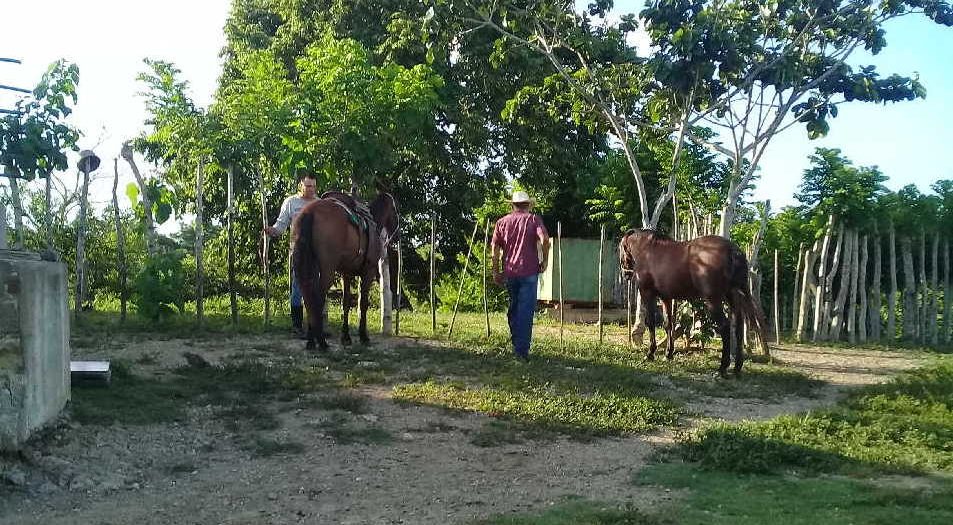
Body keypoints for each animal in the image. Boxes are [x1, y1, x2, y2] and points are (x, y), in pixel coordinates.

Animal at [288, 190, 396, 350]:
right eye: (395, 210)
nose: (397, 234)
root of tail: (310, 212)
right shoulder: (368, 272)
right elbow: (363, 304)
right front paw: (363, 336)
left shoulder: (347, 273)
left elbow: (345, 303)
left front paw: (345, 337)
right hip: (327, 271)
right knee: (317, 299)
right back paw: (321, 342)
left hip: (309, 268)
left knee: (309, 298)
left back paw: (311, 341)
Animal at [616, 229, 768, 376]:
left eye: (621, 249)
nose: (625, 274)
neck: (648, 250)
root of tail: (733, 250)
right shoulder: (666, 298)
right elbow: (668, 324)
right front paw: (668, 354)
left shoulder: (647, 294)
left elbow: (651, 323)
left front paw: (650, 353)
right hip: (733, 296)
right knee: (739, 327)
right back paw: (737, 367)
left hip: (713, 300)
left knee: (725, 327)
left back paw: (722, 368)